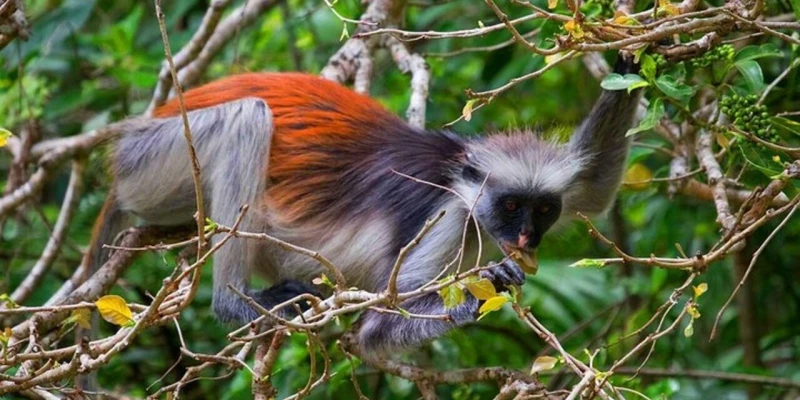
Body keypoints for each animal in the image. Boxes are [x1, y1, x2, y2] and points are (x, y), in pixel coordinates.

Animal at [85, 55, 641, 355]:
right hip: (150, 161)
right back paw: (236, 301)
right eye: (509, 206)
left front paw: (632, 58)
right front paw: (485, 291)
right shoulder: (445, 217)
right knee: (248, 116)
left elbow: (593, 187)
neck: (457, 175)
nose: (527, 236)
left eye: (542, 209)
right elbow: (376, 331)